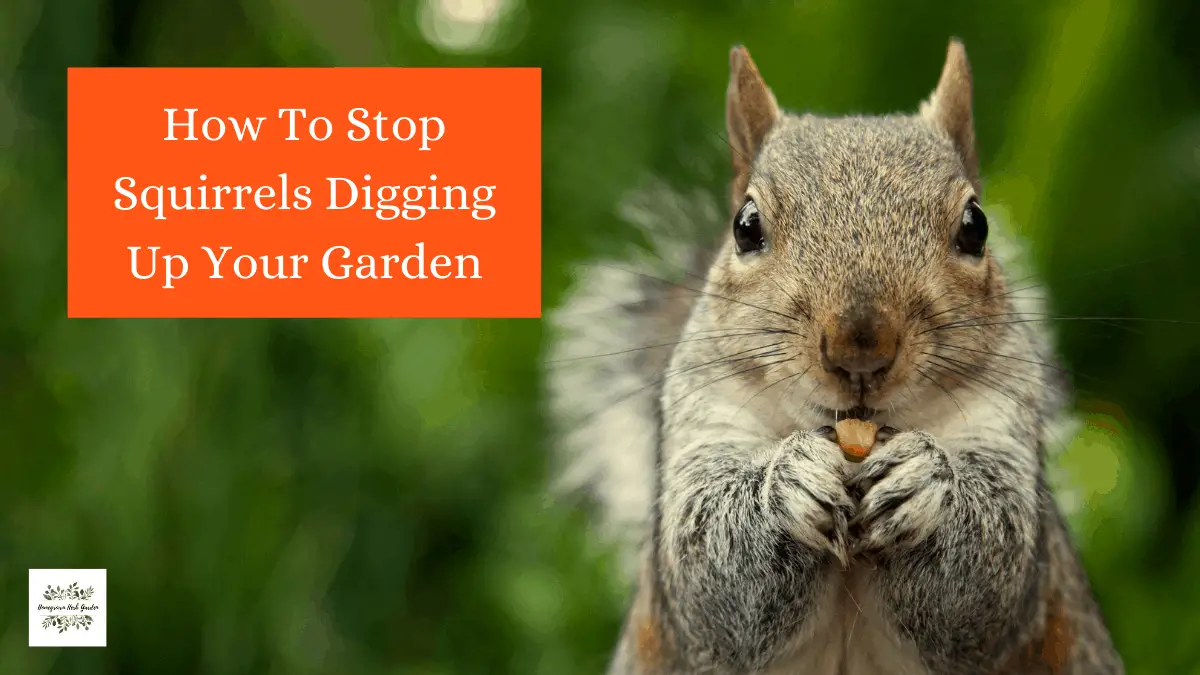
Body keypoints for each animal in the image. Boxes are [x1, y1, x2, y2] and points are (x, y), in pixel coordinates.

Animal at [544, 39, 1125, 675]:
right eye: (745, 226)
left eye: (976, 226)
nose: (860, 346)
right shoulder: (702, 416)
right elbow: (708, 570)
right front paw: (785, 486)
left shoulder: (1007, 425)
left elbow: (989, 569)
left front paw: (926, 483)